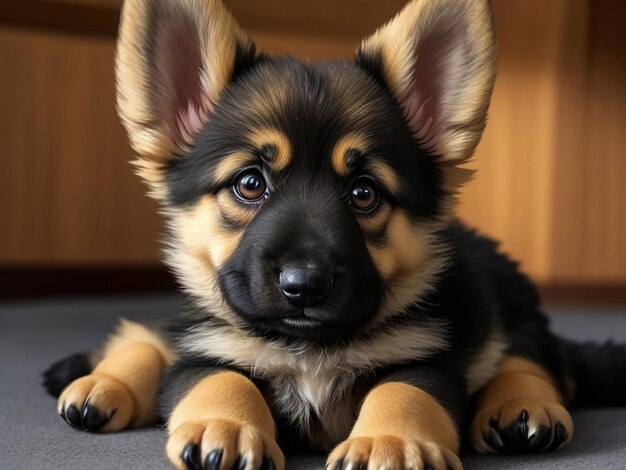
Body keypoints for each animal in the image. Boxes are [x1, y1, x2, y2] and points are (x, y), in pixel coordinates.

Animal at [42, 0, 624, 470]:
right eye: (250, 183)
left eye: (364, 193)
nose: (304, 285)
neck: (308, 347)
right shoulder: (204, 347)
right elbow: (219, 377)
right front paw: (224, 425)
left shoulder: (427, 360)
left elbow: (404, 392)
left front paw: (390, 442)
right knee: (149, 334)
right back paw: (101, 382)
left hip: (516, 311)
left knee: (535, 359)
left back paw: (521, 406)